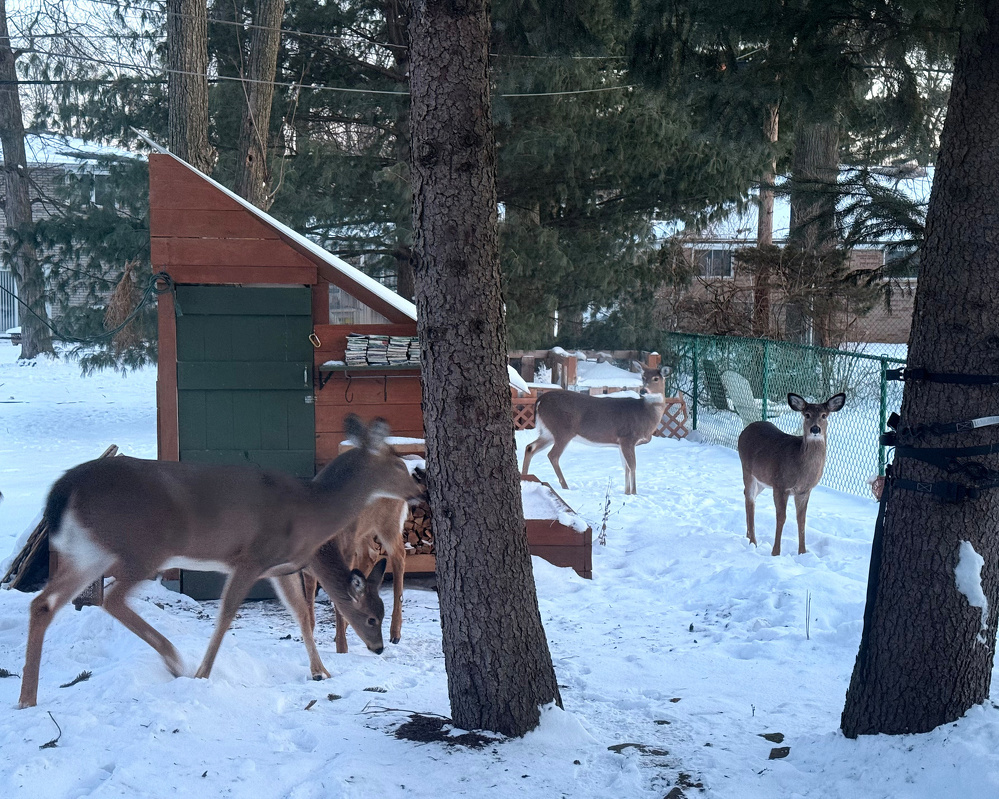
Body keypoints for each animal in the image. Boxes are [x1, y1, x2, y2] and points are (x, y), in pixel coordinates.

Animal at [18, 415, 424, 709]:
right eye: (371, 617)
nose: (378, 648)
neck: (313, 510)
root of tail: (64, 487)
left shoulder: (281, 567)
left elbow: (302, 615)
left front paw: (321, 672)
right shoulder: (252, 557)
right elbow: (227, 615)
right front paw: (202, 675)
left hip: (88, 552)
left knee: (44, 603)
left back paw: (27, 699)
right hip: (143, 548)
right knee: (110, 599)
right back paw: (174, 659)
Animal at [521, 363, 670, 495]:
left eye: (655, 378)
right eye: (643, 377)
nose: (643, 391)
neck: (645, 414)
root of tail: (540, 400)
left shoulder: (621, 443)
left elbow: (626, 467)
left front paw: (627, 493)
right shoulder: (628, 438)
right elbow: (632, 466)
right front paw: (634, 493)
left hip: (548, 432)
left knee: (530, 447)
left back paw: (525, 478)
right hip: (562, 430)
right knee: (553, 455)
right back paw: (565, 487)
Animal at [738, 392, 846, 556]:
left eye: (824, 415)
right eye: (807, 415)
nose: (815, 429)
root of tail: (745, 430)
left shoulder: (804, 491)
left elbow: (801, 519)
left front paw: (803, 552)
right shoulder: (780, 485)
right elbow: (781, 517)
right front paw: (776, 552)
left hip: (762, 479)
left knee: (747, 496)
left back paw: (748, 536)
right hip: (747, 469)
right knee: (750, 499)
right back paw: (753, 542)